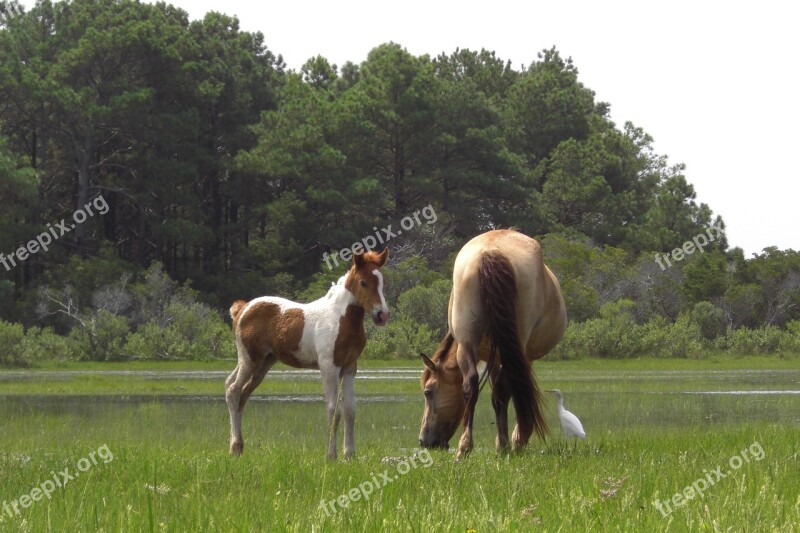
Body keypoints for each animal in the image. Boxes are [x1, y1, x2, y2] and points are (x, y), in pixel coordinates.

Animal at [227, 247, 390, 460]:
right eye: (363, 282)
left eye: (382, 281)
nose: (382, 315)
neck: (340, 319)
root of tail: (242, 308)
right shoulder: (329, 367)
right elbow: (333, 410)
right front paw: (331, 455)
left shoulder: (349, 367)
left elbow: (350, 409)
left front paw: (349, 454)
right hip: (249, 360)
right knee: (233, 391)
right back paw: (235, 446)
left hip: (263, 363)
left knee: (240, 393)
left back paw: (239, 447)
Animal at [416, 229, 564, 458]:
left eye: (428, 392)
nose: (424, 441)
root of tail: (489, 251)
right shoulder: (506, 357)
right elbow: (504, 393)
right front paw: (507, 441)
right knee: (499, 389)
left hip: (467, 343)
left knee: (472, 386)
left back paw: (467, 448)